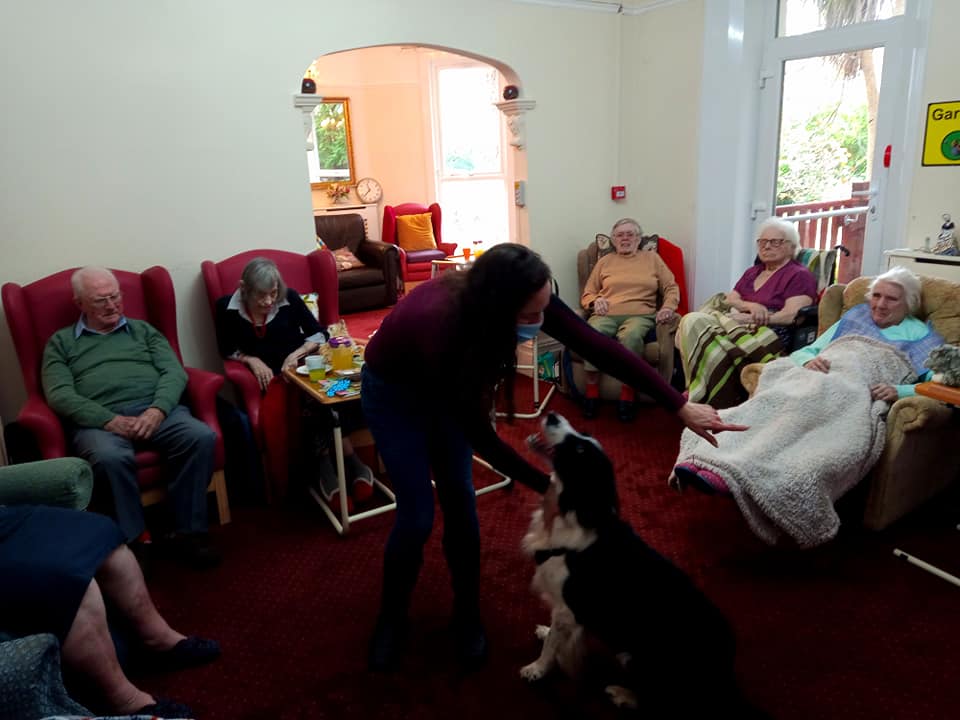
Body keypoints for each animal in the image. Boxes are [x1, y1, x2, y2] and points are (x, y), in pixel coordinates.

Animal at [520, 414, 760, 716]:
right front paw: (544, 632)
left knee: (662, 701)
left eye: (580, 450)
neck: (572, 513)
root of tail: (726, 679)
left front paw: (537, 669)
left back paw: (622, 694)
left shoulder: (567, 607)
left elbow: (553, 644)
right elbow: (556, 635)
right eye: (583, 435)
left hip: (649, 661)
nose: (552, 416)